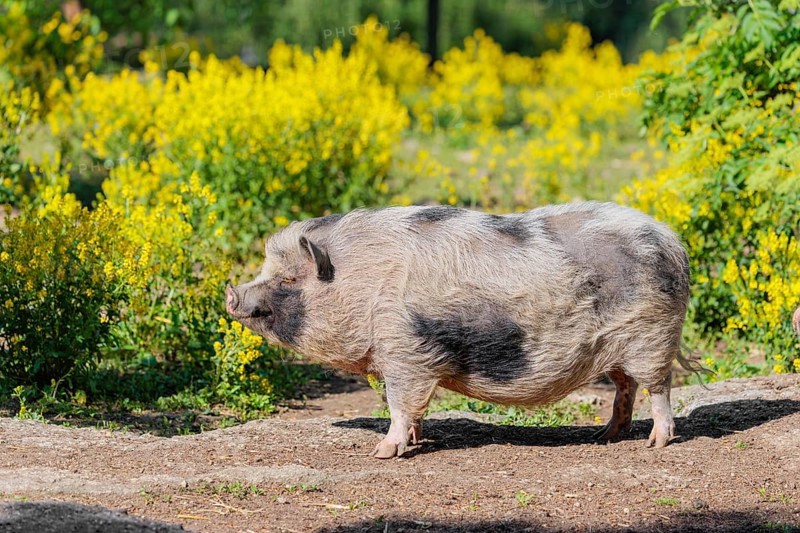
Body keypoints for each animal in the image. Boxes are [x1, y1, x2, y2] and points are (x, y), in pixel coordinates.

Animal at [226, 201, 696, 458]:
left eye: (290, 279)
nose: (231, 293)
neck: (364, 281)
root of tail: (671, 240)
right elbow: (412, 408)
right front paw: (415, 440)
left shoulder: (405, 350)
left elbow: (400, 404)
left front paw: (381, 453)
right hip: (619, 348)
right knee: (625, 387)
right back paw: (604, 435)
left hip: (653, 335)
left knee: (658, 389)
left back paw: (654, 444)